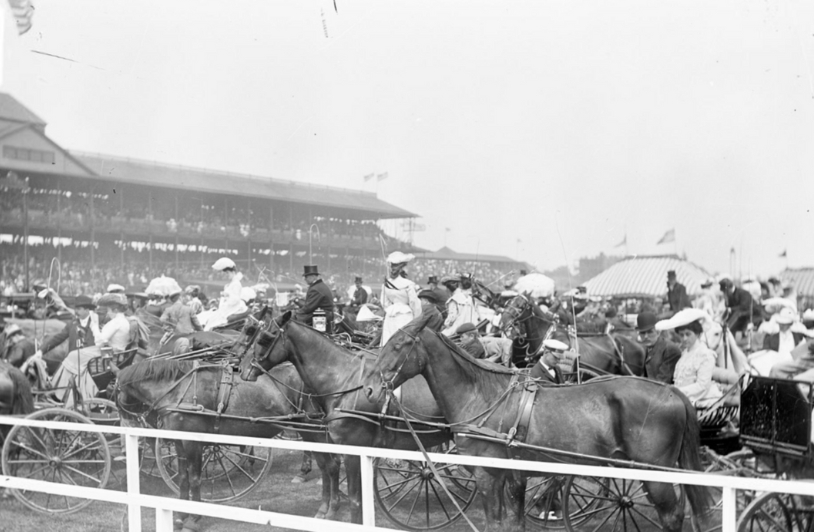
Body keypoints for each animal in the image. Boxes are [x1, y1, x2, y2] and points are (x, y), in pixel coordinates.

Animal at [115, 358, 342, 528]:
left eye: (116, 396)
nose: (129, 429)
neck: (178, 390)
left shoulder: (193, 442)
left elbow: (195, 478)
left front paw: (194, 518)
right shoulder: (180, 443)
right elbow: (183, 478)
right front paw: (180, 515)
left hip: (313, 430)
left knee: (331, 466)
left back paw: (331, 509)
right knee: (326, 466)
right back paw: (325, 507)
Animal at [239, 312, 452, 524]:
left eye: (265, 338)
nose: (242, 369)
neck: (343, 383)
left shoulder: (352, 450)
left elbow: (354, 498)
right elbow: (334, 473)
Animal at [364, 312, 712, 532]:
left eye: (398, 346)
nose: (369, 388)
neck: (483, 395)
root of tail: (671, 390)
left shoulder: (488, 474)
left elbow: (494, 522)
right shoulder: (512, 476)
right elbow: (511, 521)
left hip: (654, 477)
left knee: (672, 516)